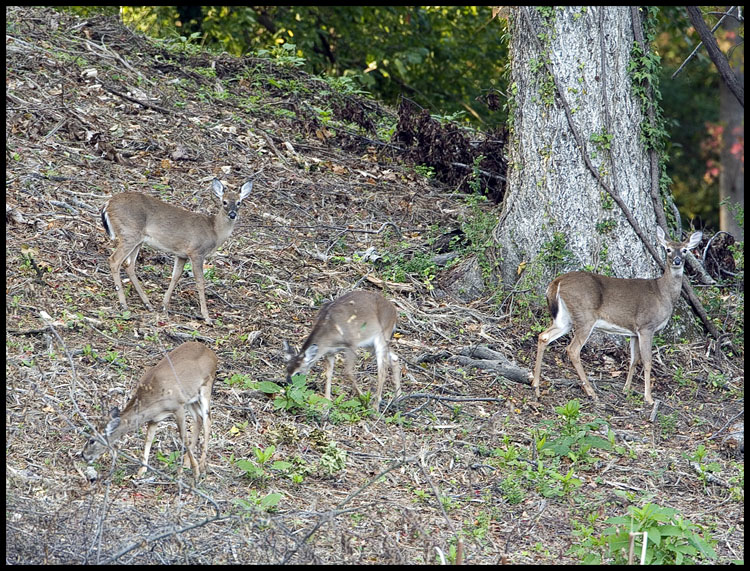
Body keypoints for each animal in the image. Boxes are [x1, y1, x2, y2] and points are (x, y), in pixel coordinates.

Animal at [81, 342, 217, 480]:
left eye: (92, 440)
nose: (83, 455)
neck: (153, 400)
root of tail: (212, 353)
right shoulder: (155, 418)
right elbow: (148, 439)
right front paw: (141, 471)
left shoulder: (178, 406)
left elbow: (183, 437)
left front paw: (196, 472)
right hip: (191, 399)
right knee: (198, 419)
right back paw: (186, 463)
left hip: (206, 386)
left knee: (207, 421)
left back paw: (201, 466)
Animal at [101, 177, 254, 324]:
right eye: (224, 202)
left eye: (239, 202)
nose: (233, 214)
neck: (214, 231)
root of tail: (108, 204)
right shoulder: (196, 252)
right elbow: (200, 282)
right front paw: (207, 317)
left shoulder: (181, 254)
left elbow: (175, 276)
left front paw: (164, 306)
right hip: (129, 233)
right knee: (114, 260)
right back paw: (124, 305)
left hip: (137, 240)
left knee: (129, 265)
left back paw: (147, 304)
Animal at [532, 226, 704, 404]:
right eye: (668, 249)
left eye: (684, 250)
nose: (677, 261)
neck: (663, 294)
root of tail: (556, 282)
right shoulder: (646, 326)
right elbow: (647, 361)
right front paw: (649, 398)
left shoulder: (634, 332)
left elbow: (634, 360)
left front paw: (626, 389)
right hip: (585, 317)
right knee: (572, 350)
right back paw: (591, 392)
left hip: (565, 319)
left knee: (543, 336)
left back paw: (536, 387)